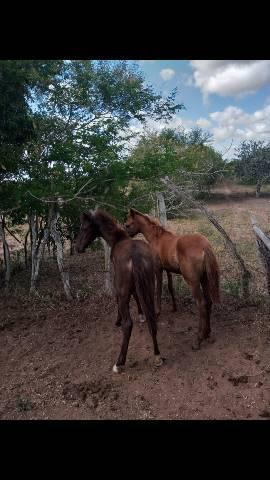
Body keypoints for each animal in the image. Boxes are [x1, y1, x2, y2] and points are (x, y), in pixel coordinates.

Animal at [76, 208, 162, 374]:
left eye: (84, 227)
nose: (77, 248)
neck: (118, 240)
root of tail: (136, 256)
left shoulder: (118, 285)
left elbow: (116, 299)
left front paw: (117, 320)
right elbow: (137, 297)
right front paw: (141, 315)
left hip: (125, 292)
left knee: (128, 325)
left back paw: (119, 363)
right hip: (149, 287)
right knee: (151, 318)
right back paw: (157, 356)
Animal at [125, 208, 220, 350]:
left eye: (127, 224)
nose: (126, 238)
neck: (157, 238)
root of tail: (204, 246)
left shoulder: (157, 269)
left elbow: (158, 290)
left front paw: (157, 312)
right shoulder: (168, 269)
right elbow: (170, 287)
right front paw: (174, 307)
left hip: (193, 282)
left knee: (201, 304)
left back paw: (198, 339)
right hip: (204, 279)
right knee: (208, 302)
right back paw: (207, 333)